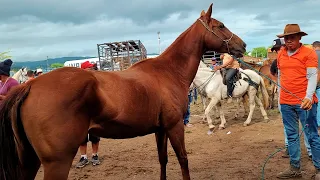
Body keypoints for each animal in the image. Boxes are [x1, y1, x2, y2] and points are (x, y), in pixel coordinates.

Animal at [0, 3, 246, 179]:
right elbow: (183, 159)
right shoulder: (174, 126)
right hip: (57, 162)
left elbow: (163, 160)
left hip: (30, 161)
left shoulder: (160, 129)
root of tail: (30, 86)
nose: (242, 45)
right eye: (220, 25)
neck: (168, 71)